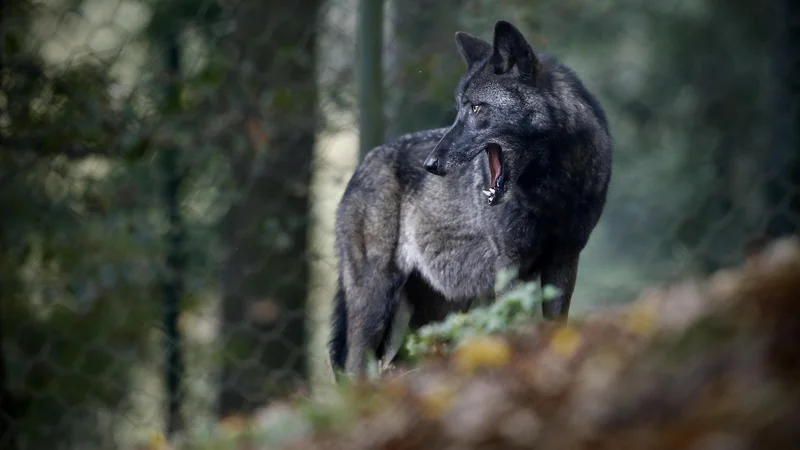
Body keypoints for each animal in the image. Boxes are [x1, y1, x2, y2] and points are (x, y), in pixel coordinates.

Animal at [330, 20, 612, 376]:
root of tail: (362, 165)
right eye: (459, 111)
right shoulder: (509, 266)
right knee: (356, 368)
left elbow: (556, 326)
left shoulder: (565, 261)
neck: (552, 191)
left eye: (477, 107)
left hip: (429, 321)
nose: (431, 165)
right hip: (375, 304)